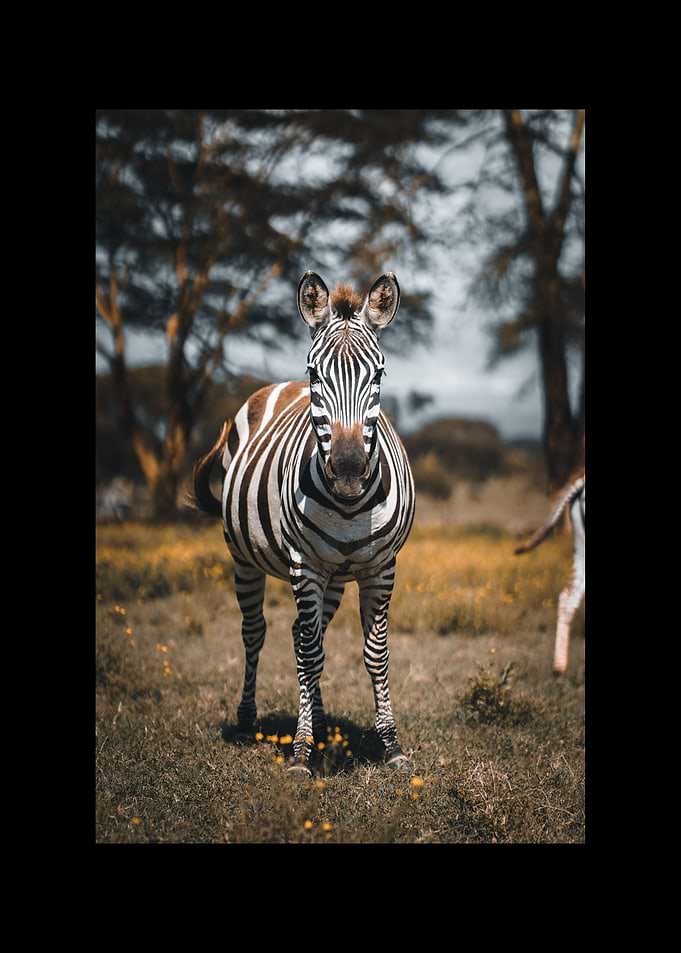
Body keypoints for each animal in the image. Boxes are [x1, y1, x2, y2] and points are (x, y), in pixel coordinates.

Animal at [193, 272, 415, 776]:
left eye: (379, 375)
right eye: (316, 375)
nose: (349, 470)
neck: (351, 505)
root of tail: (275, 386)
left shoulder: (382, 567)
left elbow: (375, 655)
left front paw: (391, 746)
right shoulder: (304, 565)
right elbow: (310, 654)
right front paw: (300, 752)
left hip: (335, 576)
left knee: (301, 636)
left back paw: (320, 718)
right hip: (244, 558)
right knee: (259, 632)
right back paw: (248, 720)